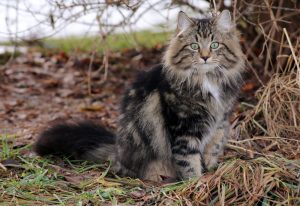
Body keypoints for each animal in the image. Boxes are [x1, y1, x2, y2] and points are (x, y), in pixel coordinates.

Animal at [35, 10, 246, 181]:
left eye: (215, 44)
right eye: (194, 46)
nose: (205, 56)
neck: (207, 80)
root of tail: (117, 151)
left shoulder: (220, 123)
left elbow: (212, 150)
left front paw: (210, 172)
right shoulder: (183, 129)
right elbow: (189, 162)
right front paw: (195, 183)